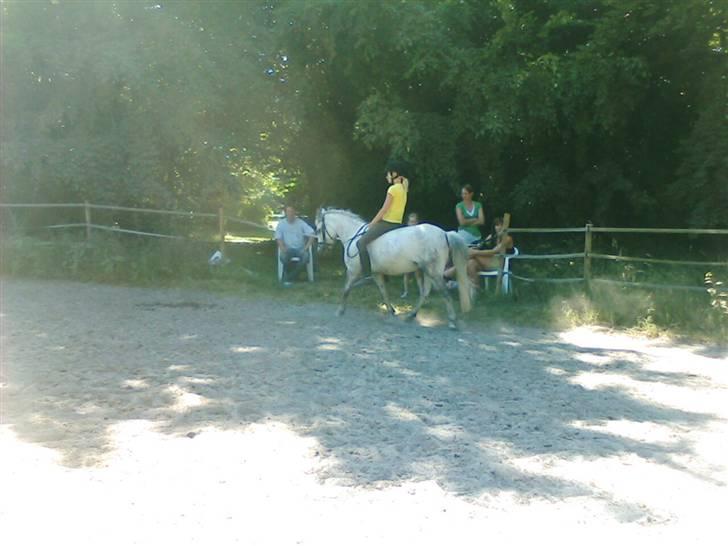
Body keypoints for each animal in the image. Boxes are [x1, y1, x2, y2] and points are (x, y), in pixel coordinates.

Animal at [314, 207, 472, 328]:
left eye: (318, 229)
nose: (320, 249)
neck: (353, 236)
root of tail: (444, 233)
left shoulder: (353, 271)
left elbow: (346, 289)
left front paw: (340, 310)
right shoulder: (376, 274)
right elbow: (383, 291)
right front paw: (391, 311)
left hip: (433, 272)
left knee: (444, 293)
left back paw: (452, 321)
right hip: (427, 271)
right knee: (425, 292)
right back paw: (411, 315)